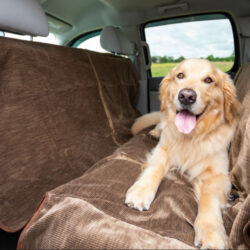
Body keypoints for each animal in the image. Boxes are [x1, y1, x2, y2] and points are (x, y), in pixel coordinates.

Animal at [125, 58, 240, 248]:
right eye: (180, 75)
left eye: (208, 80)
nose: (186, 96)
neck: (191, 137)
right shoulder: (163, 150)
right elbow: (155, 169)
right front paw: (141, 191)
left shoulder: (219, 176)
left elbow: (210, 199)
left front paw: (211, 232)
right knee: (161, 124)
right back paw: (154, 132)